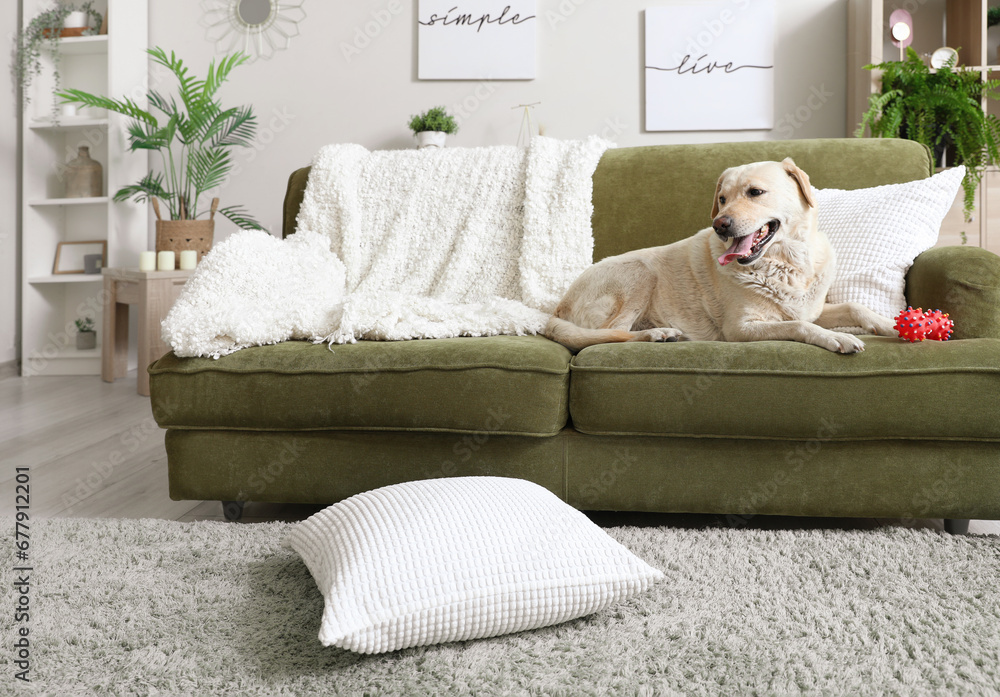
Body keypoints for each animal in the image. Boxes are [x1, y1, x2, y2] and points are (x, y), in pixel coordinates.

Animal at [548, 158, 900, 354]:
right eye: (722, 198)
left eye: (755, 193)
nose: (720, 225)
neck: (786, 263)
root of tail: (557, 310)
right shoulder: (741, 328)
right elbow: (801, 327)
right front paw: (837, 338)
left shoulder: (809, 308)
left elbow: (853, 307)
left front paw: (891, 326)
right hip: (639, 272)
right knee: (606, 336)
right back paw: (658, 334)